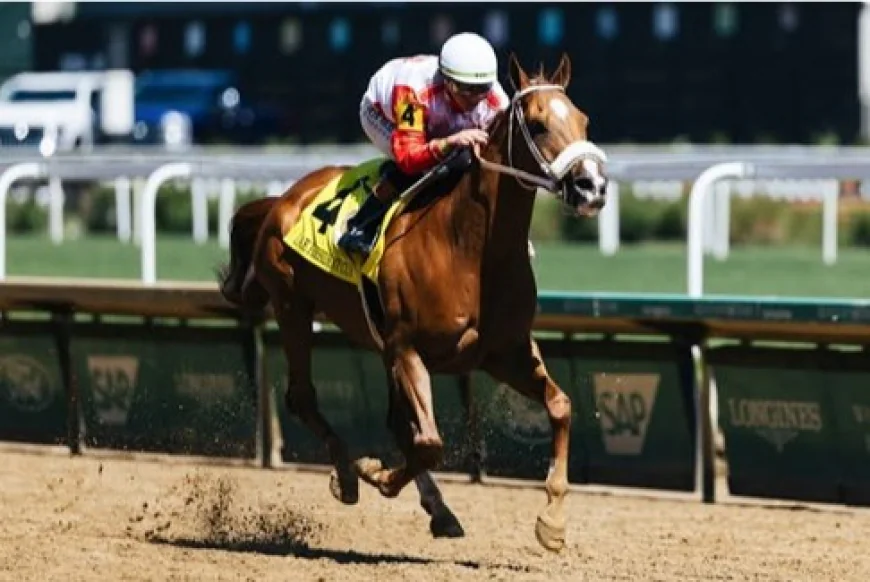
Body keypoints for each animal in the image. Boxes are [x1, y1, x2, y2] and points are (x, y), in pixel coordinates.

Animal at [219, 53, 608, 552]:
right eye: (538, 125)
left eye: (584, 120)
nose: (591, 186)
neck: (469, 247)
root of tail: (280, 200)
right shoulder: (407, 348)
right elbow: (429, 443)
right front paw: (375, 474)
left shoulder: (506, 353)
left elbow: (560, 406)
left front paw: (552, 521)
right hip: (293, 307)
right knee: (303, 397)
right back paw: (348, 474)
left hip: (374, 345)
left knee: (393, 421)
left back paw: (435, 508)